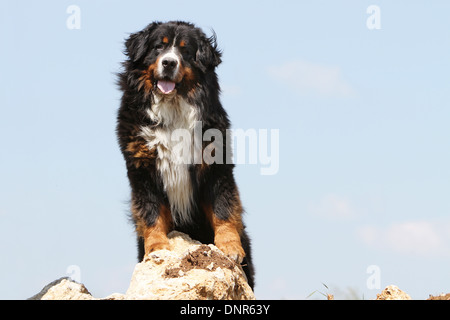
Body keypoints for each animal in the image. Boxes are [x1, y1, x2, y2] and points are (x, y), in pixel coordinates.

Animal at [116, 21, 255, 288]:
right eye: (159, 46)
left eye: (185, 51)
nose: (169, 63)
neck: (172, 108)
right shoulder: (142, 171)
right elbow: (151, 213)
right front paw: (157, 248)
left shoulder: (216, 167)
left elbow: (223, 209)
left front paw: (230, 246)